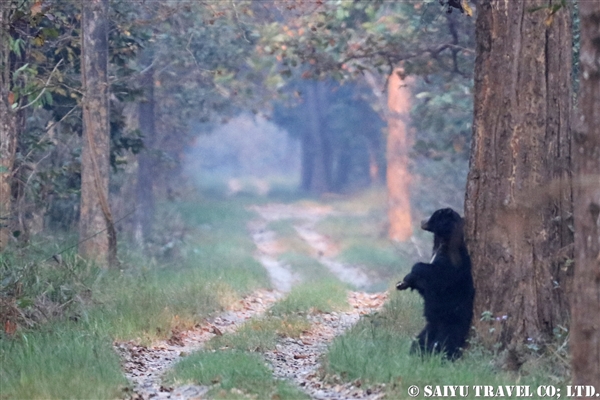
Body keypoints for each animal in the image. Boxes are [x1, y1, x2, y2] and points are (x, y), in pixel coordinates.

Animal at [396, 208, 476, 360]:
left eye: (434, 215)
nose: (422, 221)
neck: (441, 242)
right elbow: (425, 287)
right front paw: (405, 282)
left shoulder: (452, 261)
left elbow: (438, 274)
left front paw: (414, 270)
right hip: (430, 326)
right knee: (420, 341)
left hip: (452, 321)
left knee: (446, 341)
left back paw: (445, 356)